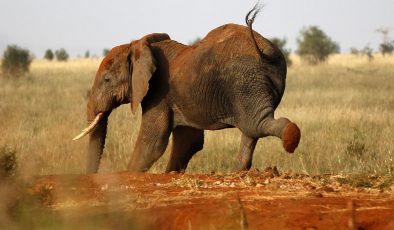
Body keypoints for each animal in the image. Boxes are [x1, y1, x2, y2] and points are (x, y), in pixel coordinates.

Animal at [74, 6, 300, 173]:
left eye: (107, 79)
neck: (138, 45)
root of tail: (265, 49)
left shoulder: (159, 92)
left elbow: (152, 142)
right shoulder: (178, 96)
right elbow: (189, 140)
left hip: (245, 81)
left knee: (255, 125)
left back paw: (290, 138)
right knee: (251, 129)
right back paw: (237, 172)